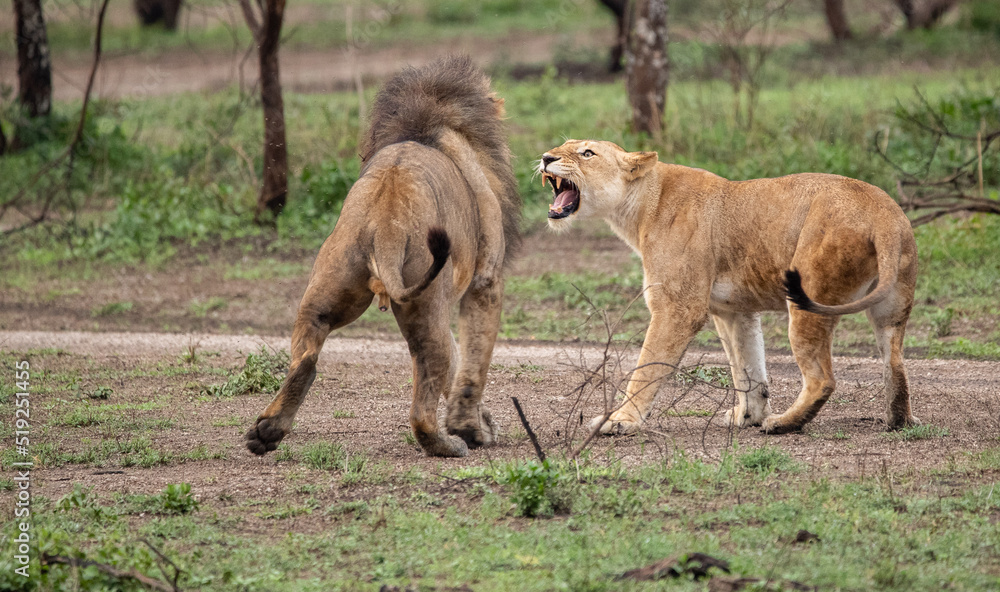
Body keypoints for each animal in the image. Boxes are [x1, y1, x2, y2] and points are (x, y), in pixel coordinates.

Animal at [245, 57, 521, 457]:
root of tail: (384, 217)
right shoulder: (485, 281)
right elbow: (471, 364)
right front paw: (471, 428)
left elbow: (457, 368)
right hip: (427, 303)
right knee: (423, 403)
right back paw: (449, 444)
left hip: (326, 289)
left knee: (306, 359)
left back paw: (266, 432)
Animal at [539, 139, 918, 435]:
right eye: (563, 145)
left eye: (587, 152)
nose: (545, 157)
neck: (640, 206)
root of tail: (883, 214)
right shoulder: (733, 310)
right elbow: (748, 367)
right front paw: (748, 416)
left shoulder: (678, 308)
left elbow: (647, 367)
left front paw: (620, 420)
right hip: (891, 309)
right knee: (895, 363)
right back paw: (897, 420)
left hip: (808, 298)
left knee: (822, 378)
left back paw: (783, 424)